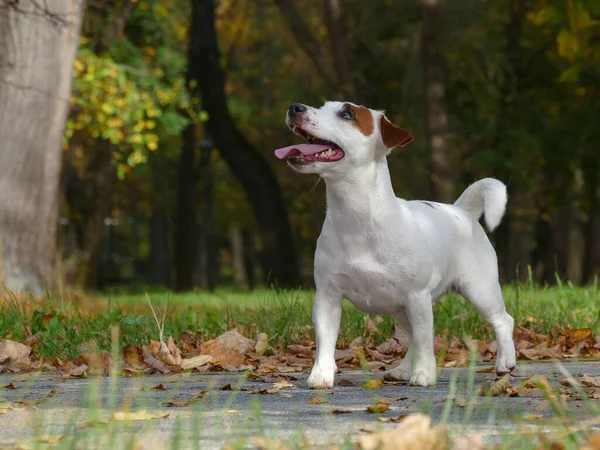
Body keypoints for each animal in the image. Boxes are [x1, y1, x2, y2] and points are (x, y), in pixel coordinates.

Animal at [274, 101, 516, 386]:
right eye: (322, 106)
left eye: (347, 114)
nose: (295, 107)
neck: (355, 218)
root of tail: (461, 212)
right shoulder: (327, 296)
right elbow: (325, 339)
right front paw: (321, 374)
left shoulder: (417, 296)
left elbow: (424, 340)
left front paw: (423, 373)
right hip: (404, 309)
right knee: (413, 336)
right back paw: (401, 370)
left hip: (479, 289)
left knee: (502, 321)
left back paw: (505, 361)